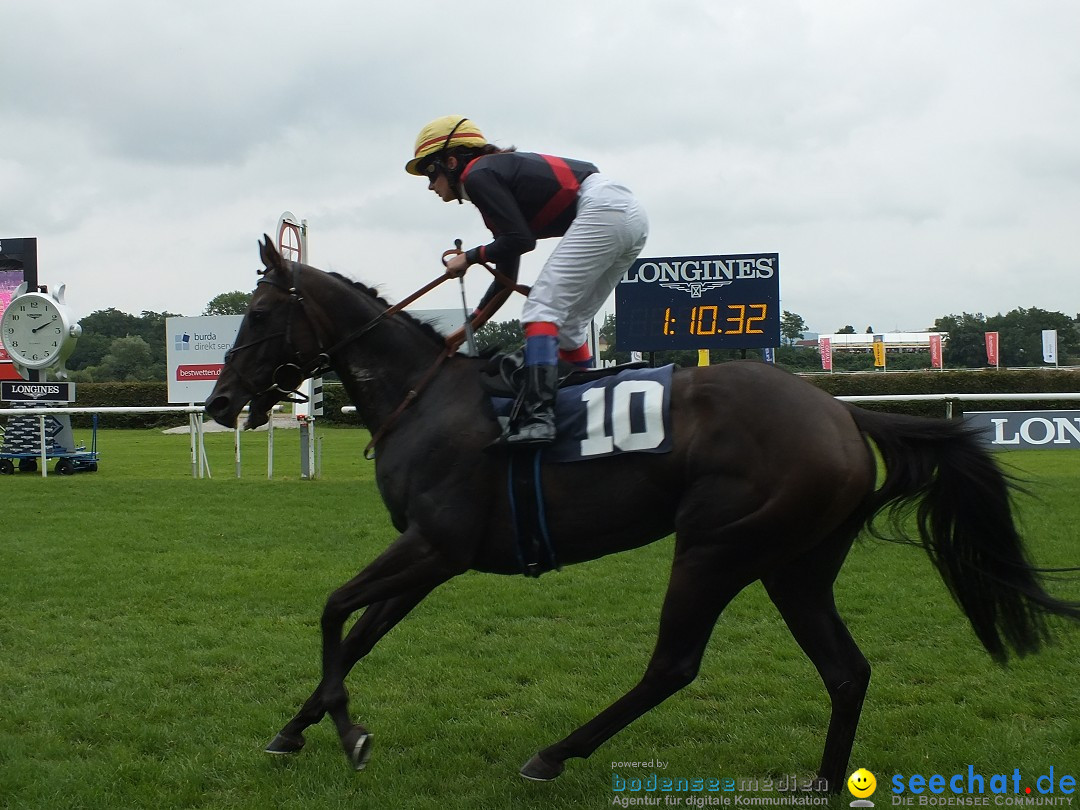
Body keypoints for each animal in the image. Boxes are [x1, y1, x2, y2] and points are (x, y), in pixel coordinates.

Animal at [206, 237, 1075, 794]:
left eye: (258, 317)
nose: (217, 403)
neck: (426, 398)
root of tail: (841, 413)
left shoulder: (436, 546)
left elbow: (332, 610)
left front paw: (347, 732)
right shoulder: (431, 555)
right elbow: (358, 632)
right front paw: (295, 729)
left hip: (716, 546)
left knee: (675, 664)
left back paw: (554, 753)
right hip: (796, 564)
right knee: (845, 670)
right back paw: (828, 783)